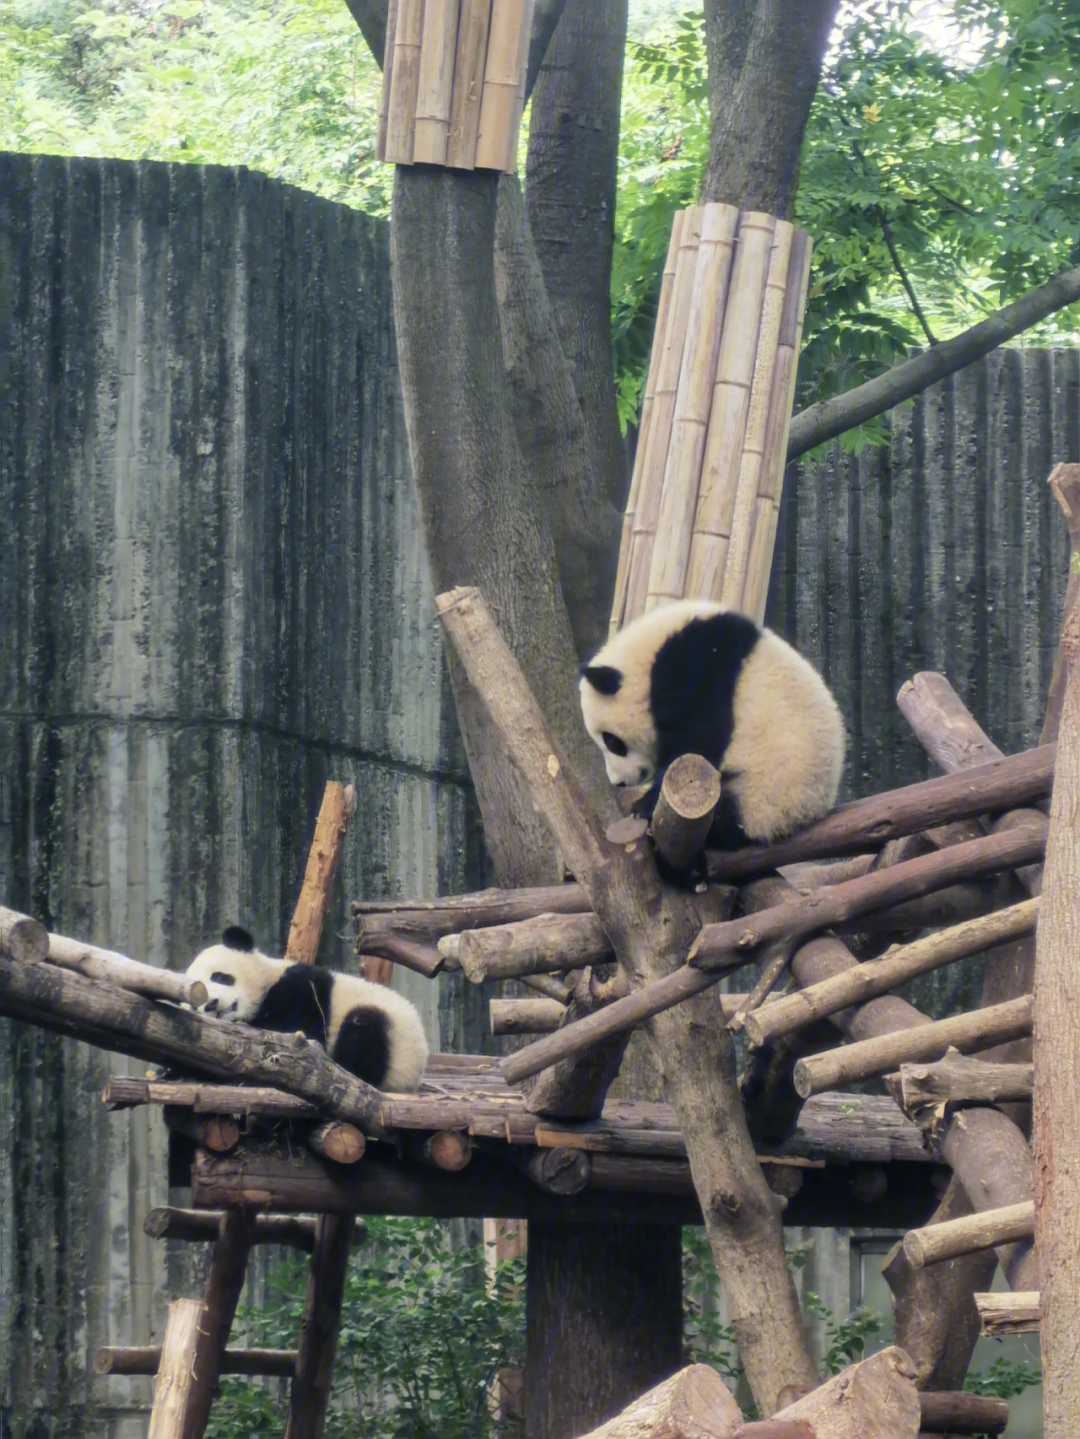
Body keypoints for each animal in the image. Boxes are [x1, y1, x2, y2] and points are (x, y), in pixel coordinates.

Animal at [185, 926, 425, 1093]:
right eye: (196, 1000)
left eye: (220, 977)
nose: (211, 1003)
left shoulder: (301, 990)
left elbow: (297, 1029)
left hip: (395, 1041)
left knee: (365, 1030)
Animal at [578, 598, 851, 851]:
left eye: (612, 742)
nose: (619, 782)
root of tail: (806, 817)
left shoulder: (698, 670)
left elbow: (698, 742)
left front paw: (642, 807)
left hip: (765, 792)